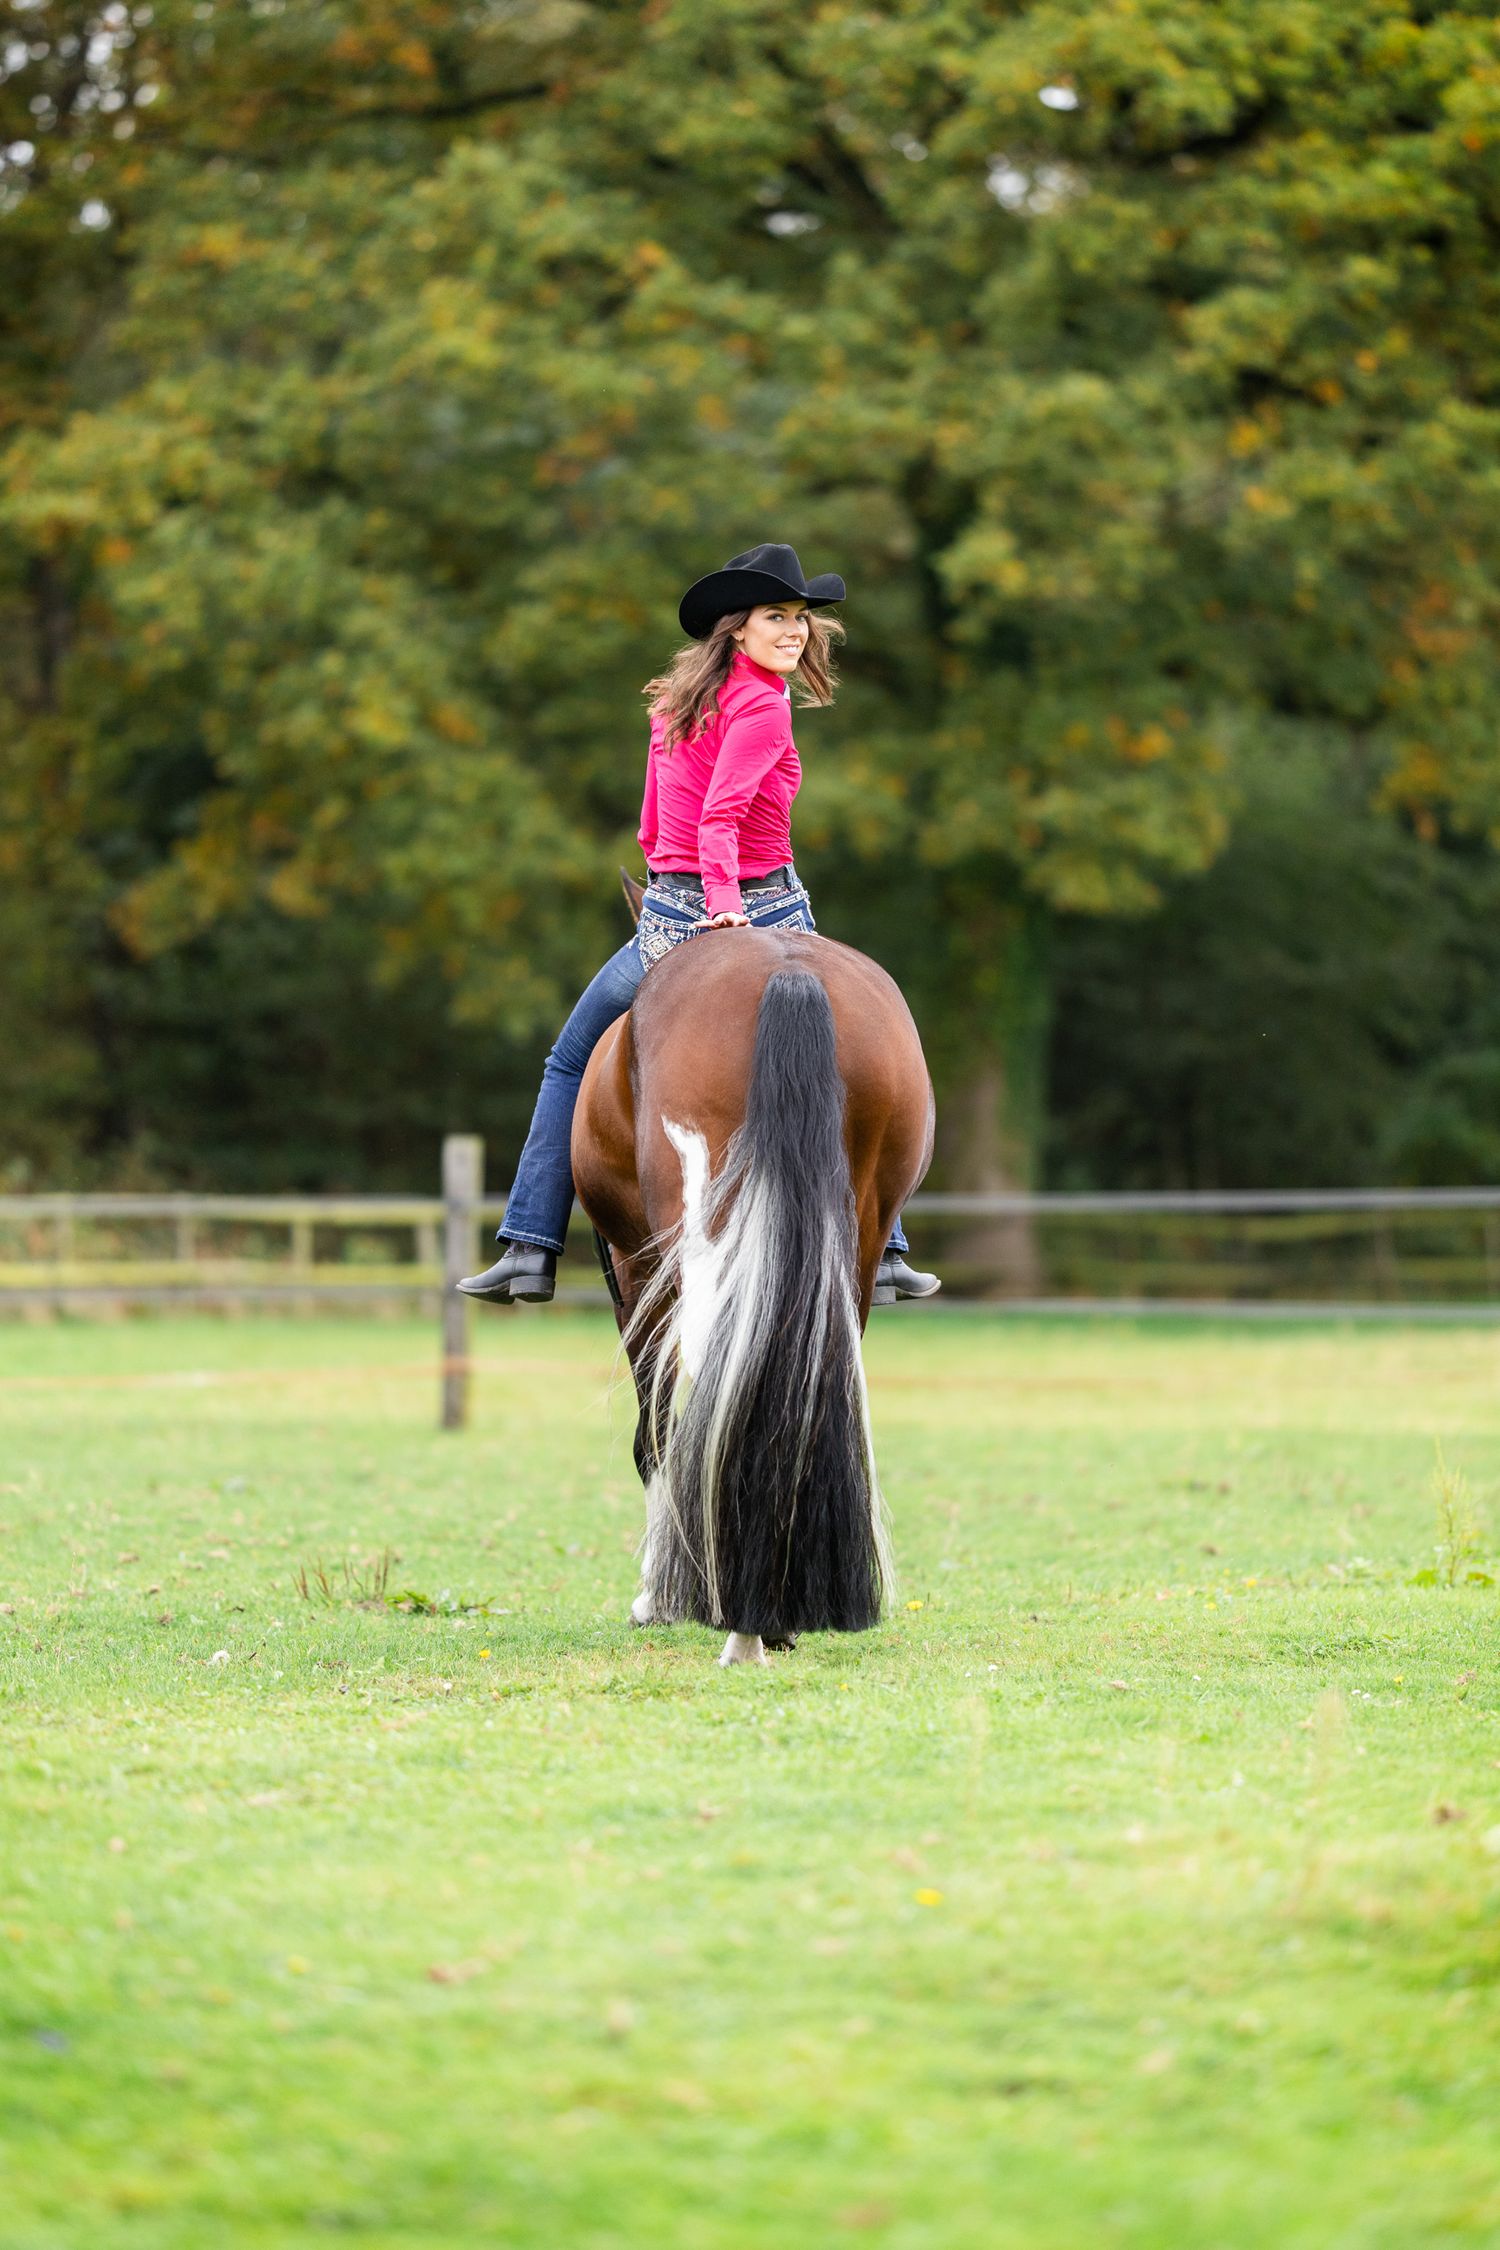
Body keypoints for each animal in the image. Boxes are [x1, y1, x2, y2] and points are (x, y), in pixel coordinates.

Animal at [572, 889, 934, 1667]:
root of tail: (785, 969)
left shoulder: (637, 1272)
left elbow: (658, 1433)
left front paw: (654, 1596)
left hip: (702, 1243)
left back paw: (741, 1622)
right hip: (853, 1243)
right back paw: (776, 1611)